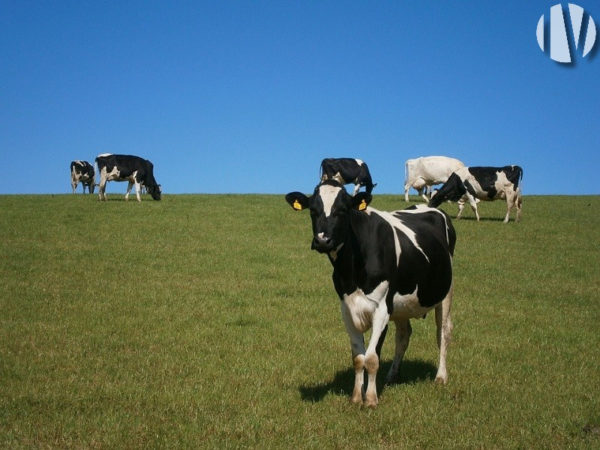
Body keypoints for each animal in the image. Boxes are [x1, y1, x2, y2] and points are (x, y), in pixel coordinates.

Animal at [286, 179, 454, 408]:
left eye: (343, 210)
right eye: (313, 210)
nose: (322, 241)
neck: (351, 270)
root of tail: (431, 207)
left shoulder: (381, 308)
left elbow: (372, 358)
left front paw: (371, 399)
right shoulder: (347, 309)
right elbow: (358, 358)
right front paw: (357, 397)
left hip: (445, 293)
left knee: (443, 332)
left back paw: (441, 377)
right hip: (400, 305)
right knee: (403, 335)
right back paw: (392, 375)